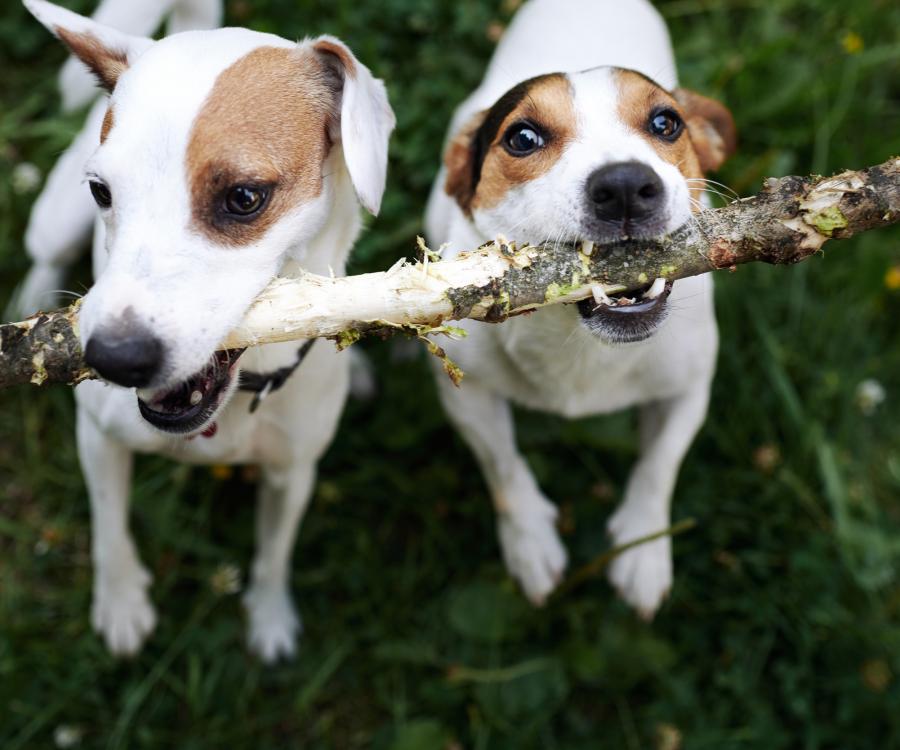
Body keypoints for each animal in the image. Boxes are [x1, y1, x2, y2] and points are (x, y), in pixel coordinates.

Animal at [21, 0, 392, 660]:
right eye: (102, 192)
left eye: (244, 197)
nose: (113, 359)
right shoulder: (97, 438)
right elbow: (108, 526)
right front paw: (120, 600)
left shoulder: (293, 473)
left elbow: (274, 553)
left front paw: (269, 615)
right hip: (54, 219)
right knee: (42, 252)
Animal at [426, 0, 736, 620]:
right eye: (522, 137)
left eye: (666, 124)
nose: (624, 185)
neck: (581, 345)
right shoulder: (467, 393)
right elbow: (502, 464)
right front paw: (529, 542)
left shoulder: (689, 387)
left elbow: (660, 465)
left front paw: (644, 549)